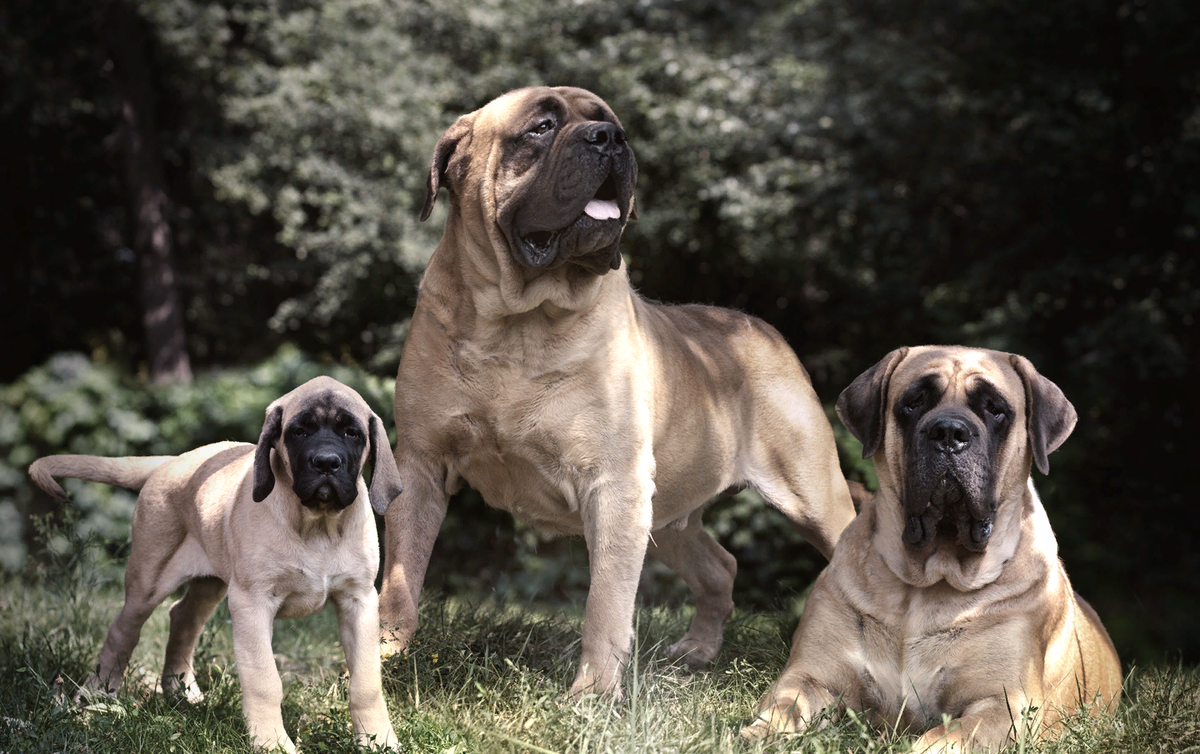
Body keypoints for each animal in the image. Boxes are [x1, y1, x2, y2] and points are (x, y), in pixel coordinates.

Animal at [27, 379, 403, 749]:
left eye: (351, 433)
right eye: (298, 432)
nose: (326, 462)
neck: (318, 525)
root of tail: (172, 462)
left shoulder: (359, 601)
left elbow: (366, 683)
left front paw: (378, 739)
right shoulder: (252, 603)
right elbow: (264, 680)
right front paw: (272, 742)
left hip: (210, 585)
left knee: (182, 618)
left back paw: (182, 692)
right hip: (148, 580)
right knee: (124, 631)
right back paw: (97, 696)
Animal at [379, 90, 859, 701]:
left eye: (612, 123)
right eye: (541, 126)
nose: (609, 138)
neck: (518, 323)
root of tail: (761, 329)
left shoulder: (614, 484)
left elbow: (605, 604)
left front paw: (592, 695)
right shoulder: (421, 465)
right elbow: (400, 578)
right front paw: (380, 663)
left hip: (810, 493)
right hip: (671, 511)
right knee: (719, 567)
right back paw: (697, 651)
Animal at [744, 348, 1118, 749]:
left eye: (994, 408)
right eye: (914, 401)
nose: (949, 432)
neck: (928, 582)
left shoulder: (1005, 705)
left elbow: (940, 738)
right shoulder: (810, 675)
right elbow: (785, 708)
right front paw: (757, 734)